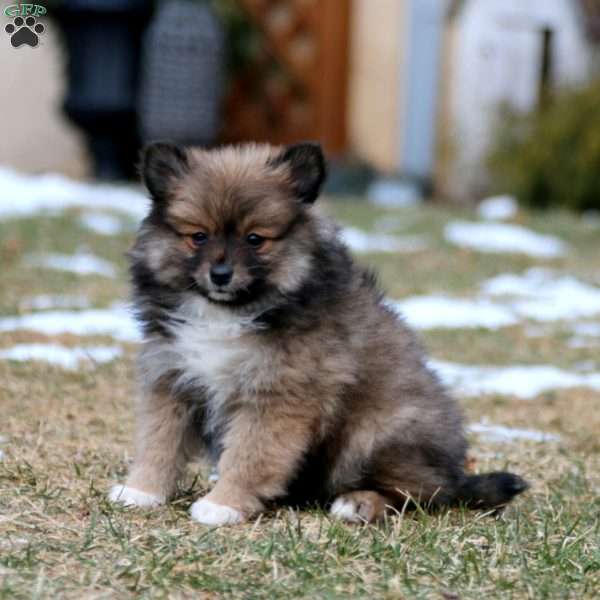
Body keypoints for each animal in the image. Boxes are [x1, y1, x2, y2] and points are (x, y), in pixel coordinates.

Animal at [109, 141, 528, 524]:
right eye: (198, 236)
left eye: (254, 239)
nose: (221, 275)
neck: (228, 312)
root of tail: (456, 474)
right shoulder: (171, 381)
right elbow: (159, 443)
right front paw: (141, 491)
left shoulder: (277, 396)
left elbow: (249, 455)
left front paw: (222, 504)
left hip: (376, 433)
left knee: (416, 495)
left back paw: (358, 503)